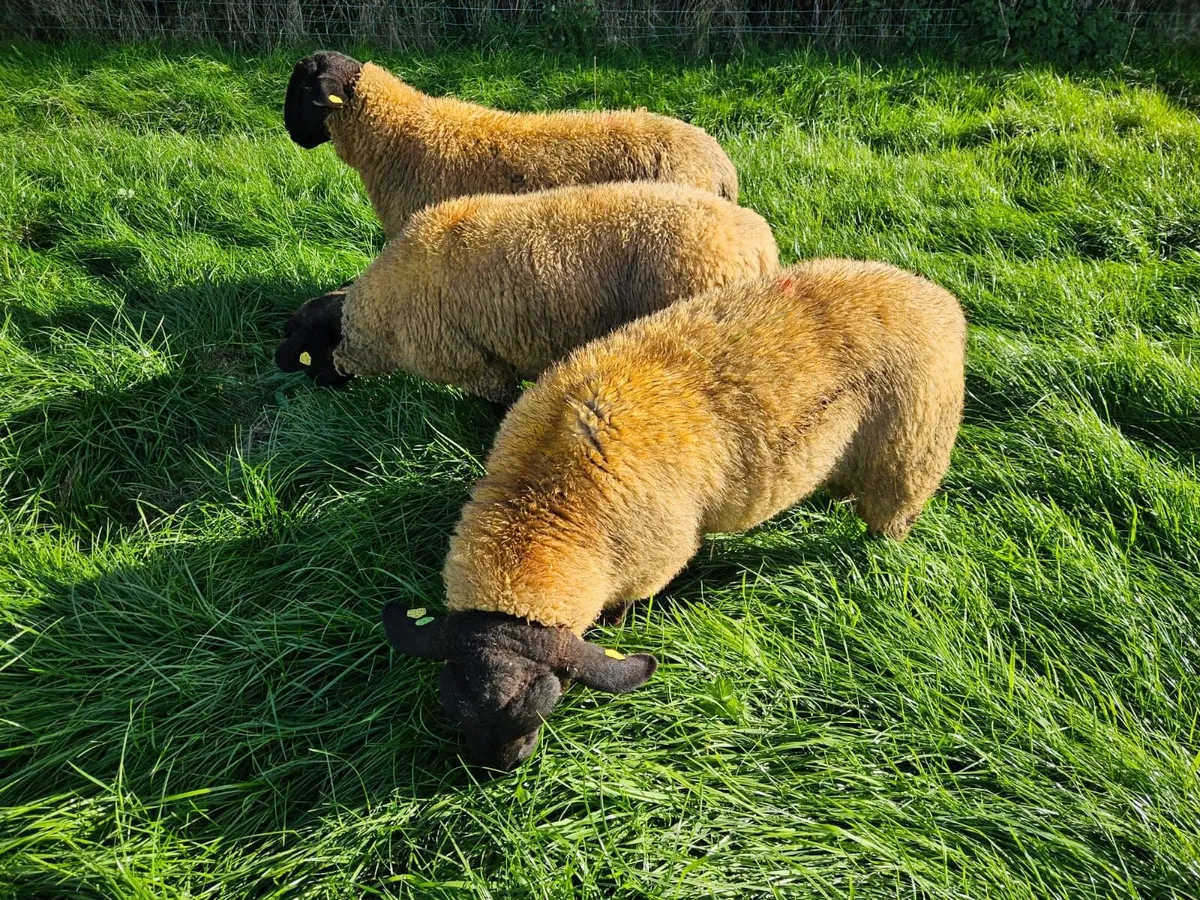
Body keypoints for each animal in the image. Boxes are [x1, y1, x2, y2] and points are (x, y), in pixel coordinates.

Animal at [381, 258, 967, 771]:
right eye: (454, 709)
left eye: (550, 701)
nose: (496, 771)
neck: (547, 500)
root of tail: (935, 297)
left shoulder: (649, 562)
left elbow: (623, 609)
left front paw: (616, 626)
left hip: (912, 447)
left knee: (892, 516)